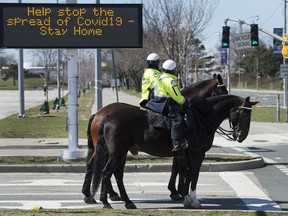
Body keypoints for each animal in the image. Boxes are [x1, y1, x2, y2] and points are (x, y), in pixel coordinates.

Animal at [81, 75, 227, 203]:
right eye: (222, 90)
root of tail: (99, 114)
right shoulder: (183, 151)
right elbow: (180, 169)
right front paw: (178, 191)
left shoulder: (180, 152)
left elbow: (176, 168)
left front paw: (175, 191)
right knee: (100, 167)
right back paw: (101, 194)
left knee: (95, 165)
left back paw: (95, 194)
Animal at [91, 95, 258, 209]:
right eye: (245, 114)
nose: (242, 136)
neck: (203, 118)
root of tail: (107, 116)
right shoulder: (198, 154)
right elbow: (194, 176)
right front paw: (194, 200)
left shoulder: (186, 155)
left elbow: (187, 175)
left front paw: (186, 198)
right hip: (117, 153)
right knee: (106, 172)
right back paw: (106, 202)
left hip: (121, 153)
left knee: (117, 174)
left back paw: (127, 202)